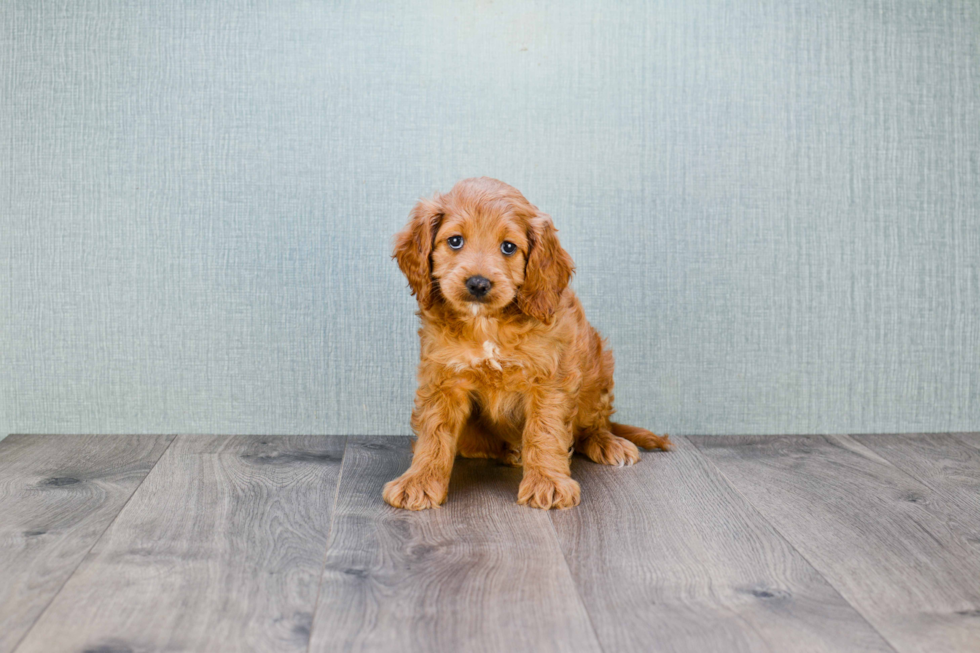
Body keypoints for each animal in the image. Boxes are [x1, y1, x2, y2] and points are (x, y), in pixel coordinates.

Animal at [386, 177, 668, 510]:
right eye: (455, 241)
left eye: (508, 247)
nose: (478, 284)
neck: (487, 324)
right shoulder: (443, 379)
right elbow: (434, 433)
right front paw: (419, 481)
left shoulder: (550, 378)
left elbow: (544, 431)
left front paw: (547, 482)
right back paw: (511, 451)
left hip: (598, 372)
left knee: (594, 426)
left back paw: (607, 442)